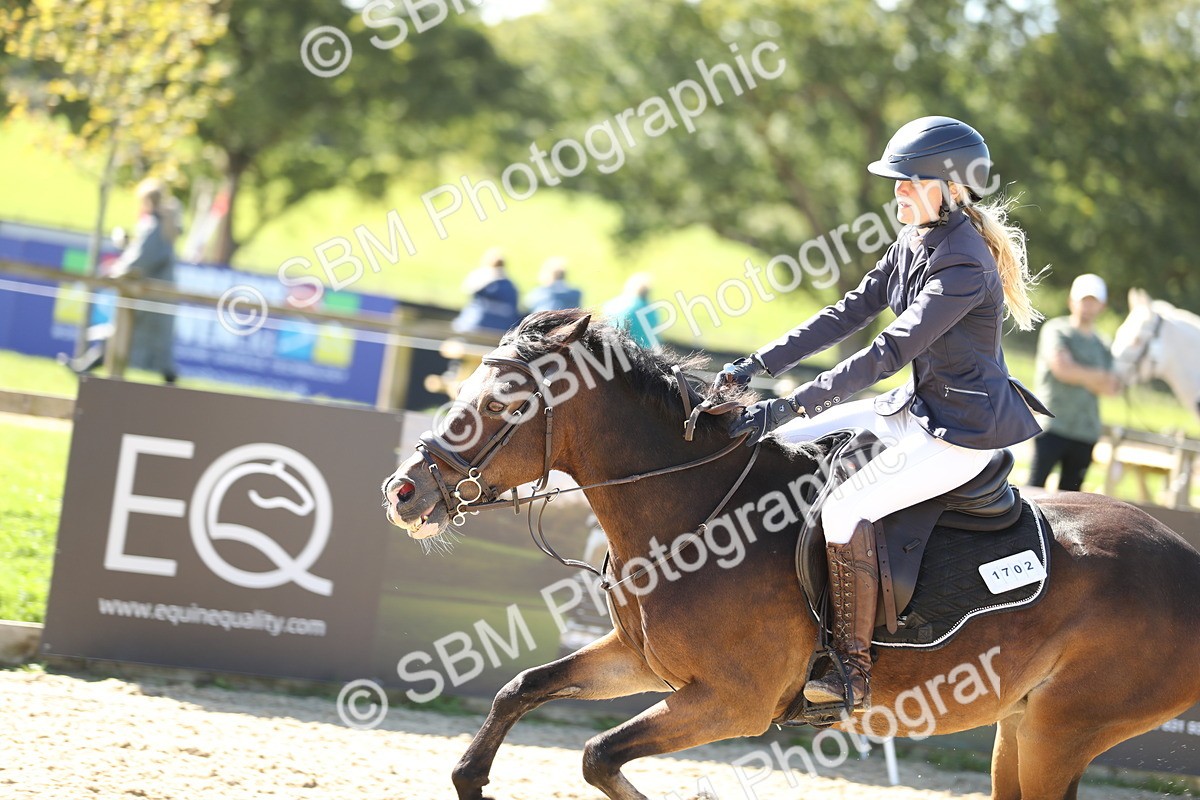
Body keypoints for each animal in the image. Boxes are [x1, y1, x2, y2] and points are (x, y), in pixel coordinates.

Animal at [382, 309, 1200, 800]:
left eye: (501, 404)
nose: (403, 491)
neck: (695, 509)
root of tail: (1184, 560)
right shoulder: (643, 661)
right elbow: (520, 689)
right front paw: (470, 775)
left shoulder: (732, 701)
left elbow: (599, 756)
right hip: (1022, 728)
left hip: (1065, 730)